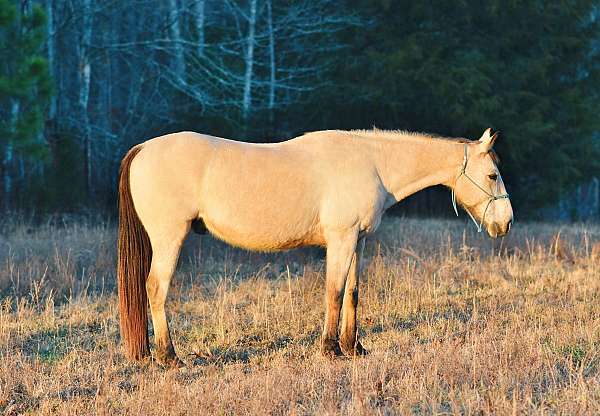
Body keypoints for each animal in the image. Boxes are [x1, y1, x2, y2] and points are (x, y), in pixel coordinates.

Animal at [116, 128, 510, 366]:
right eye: (492, 175)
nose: (505, 223)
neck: (372, 162)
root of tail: (143, 148)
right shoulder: (340, 239)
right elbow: (333, 292)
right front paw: (330, 349)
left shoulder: (357, 241)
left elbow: (352, 293)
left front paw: (355, 347)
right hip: (169, 238)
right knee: (155, 289)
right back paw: (169, 357)